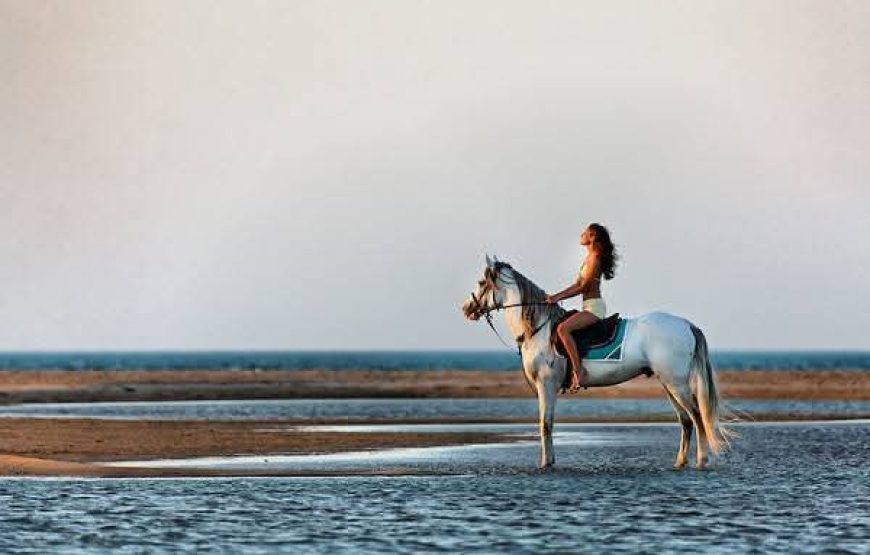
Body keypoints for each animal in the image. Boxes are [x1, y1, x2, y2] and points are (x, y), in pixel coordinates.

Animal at [461, 255, 732, 470]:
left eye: (481, 283)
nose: (466, 308)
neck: (538, 328)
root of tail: (686, 324)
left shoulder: (546, 384)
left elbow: (545, 424)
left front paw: (546, 464)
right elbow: (548, 424)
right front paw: (550, 461)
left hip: (677, 384)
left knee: (697, 417)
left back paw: (701, 461)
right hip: (669, 384)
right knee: (686, 421)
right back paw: (680, 462)